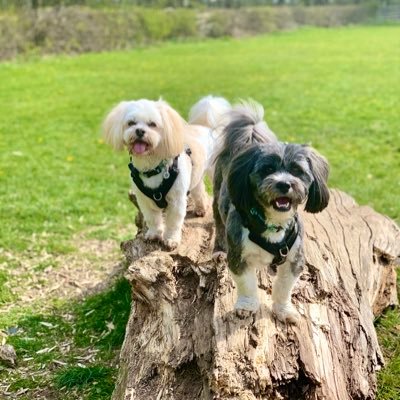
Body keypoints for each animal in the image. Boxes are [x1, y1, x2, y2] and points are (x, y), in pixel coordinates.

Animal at [101, 95, 230, 248]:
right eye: (131, 123)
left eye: (152, 124)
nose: (139, 131)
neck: (151, 168)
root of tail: (206, 127)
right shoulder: (144, 201)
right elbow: (152, 219)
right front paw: (154, 234)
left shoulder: (176, 201)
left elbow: (173, 222)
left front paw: (171, 240)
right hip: (195, 175)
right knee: (199, 190)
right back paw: (201, 208)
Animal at [214, 101, 330, 324]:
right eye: (267, 169)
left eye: (296, 171)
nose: (284, 184)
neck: (273, 223)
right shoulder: (238, 254)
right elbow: (247, 284)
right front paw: (246, 306)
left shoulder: (294, 258)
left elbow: (284, 287)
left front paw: (284, 310)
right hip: (217, 199)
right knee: (218, 224)